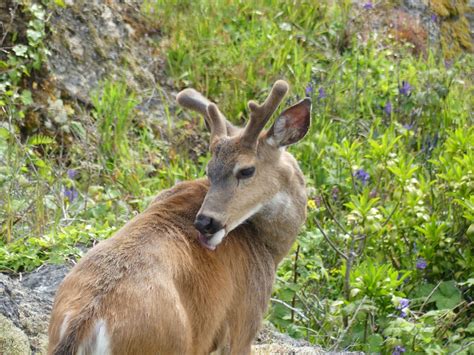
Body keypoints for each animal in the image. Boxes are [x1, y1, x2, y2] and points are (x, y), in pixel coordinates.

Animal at [48, 80, 312, 355]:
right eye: (210, 170)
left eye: (246, 170)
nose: (205, 222)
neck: (268, 247)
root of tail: (85, 323)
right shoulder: (243, 323)